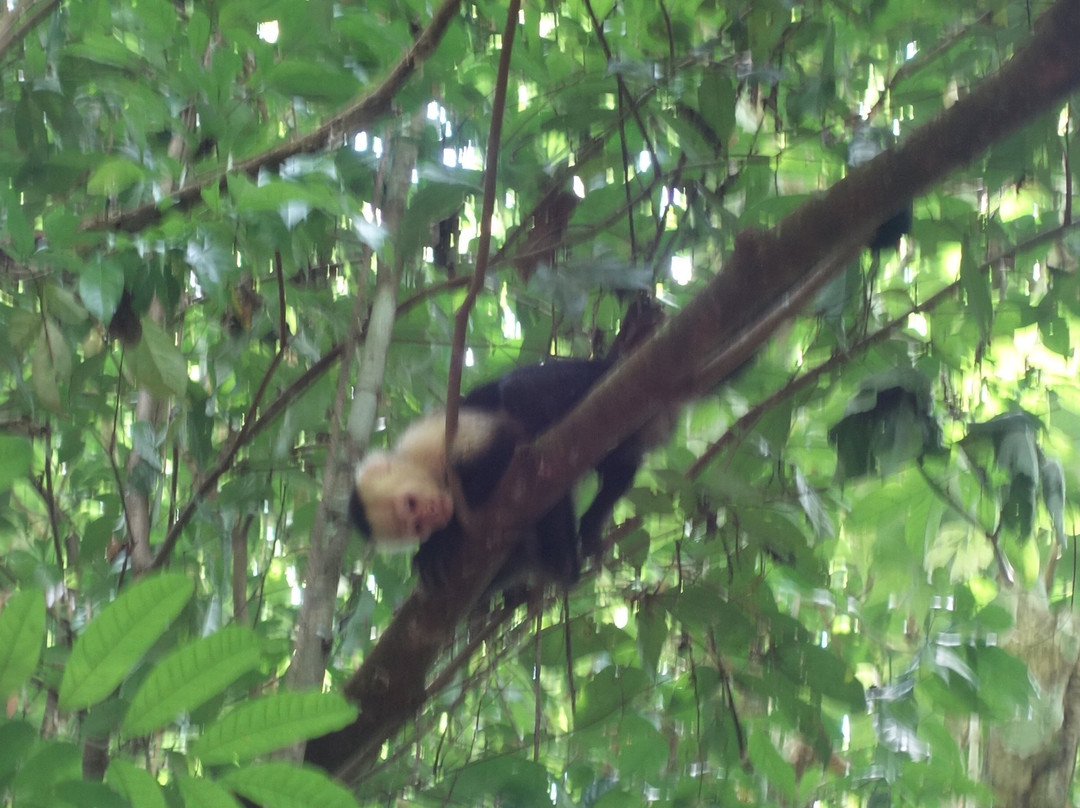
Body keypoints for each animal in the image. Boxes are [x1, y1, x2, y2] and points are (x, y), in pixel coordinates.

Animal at [347, 360, 665, 591]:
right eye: (416, 525)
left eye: (411, 503)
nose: (433, 514)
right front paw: (430, 547)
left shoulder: (431, 441)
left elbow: (502, 448)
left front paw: (441, 541)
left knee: (515, 392)